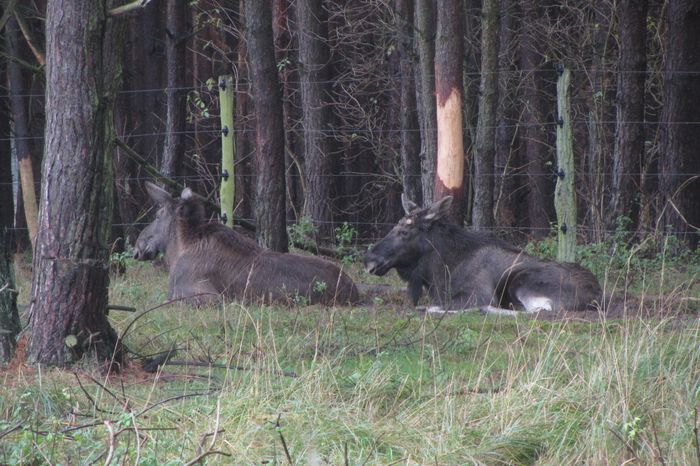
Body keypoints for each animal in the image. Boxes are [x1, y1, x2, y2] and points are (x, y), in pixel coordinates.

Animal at [360, 195, 600, 314]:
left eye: (404, 231)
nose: (369, 260)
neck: (439, 271)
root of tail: (596, 294)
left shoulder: (477, 294)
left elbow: (435, 307)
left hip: (520, 280)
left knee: (538, 311)